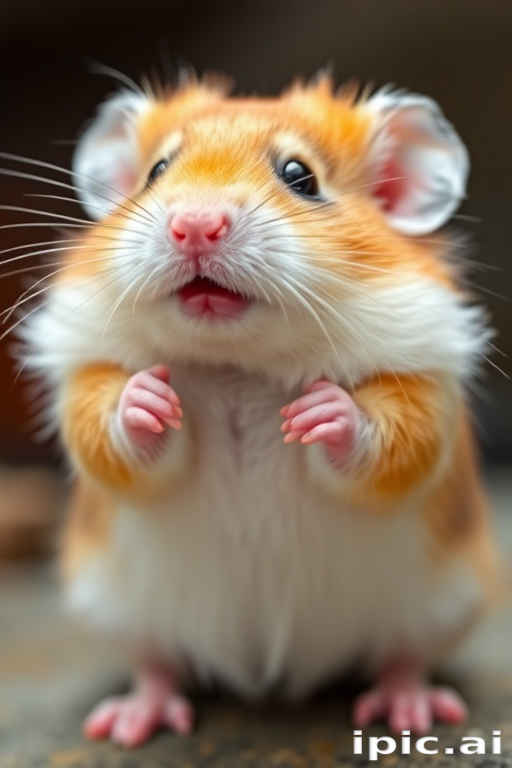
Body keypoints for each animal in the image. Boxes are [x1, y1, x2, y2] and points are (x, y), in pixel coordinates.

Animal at [15, 71, 499, 747]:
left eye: (301, 176)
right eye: (156, 171)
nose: (194, 225)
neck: (238, 364)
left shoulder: (424, 392)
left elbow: (390, 443)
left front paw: (316, 410)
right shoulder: (88, 378)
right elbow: (109, 431)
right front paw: (151, 395)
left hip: (444, 603)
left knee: (403, 657)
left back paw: (412, 713)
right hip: (114, 606)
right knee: (155, 663)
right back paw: (128, 724)